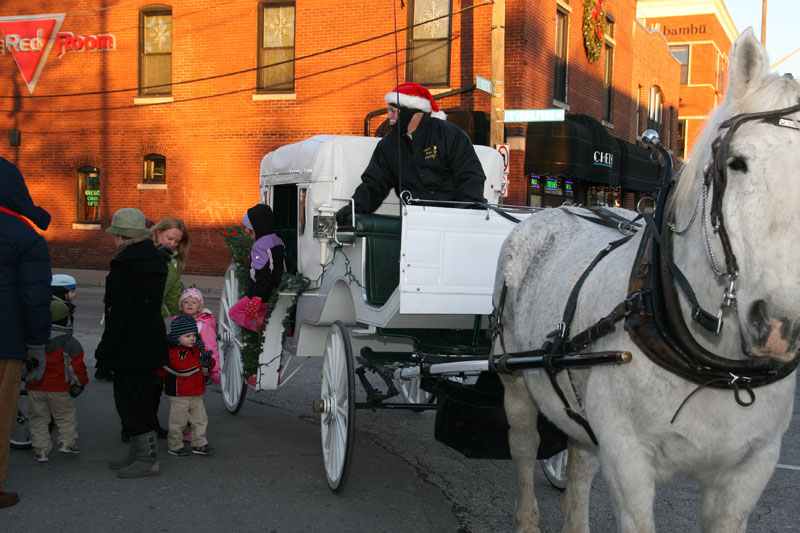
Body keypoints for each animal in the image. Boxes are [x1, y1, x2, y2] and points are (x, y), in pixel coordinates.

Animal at [494, 27, 800, 528]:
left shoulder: (750, 470)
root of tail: (554, 209)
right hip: (514, 379)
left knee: (579, 467)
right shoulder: (628, 459)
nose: (779, 325)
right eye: (736, 163)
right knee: (523, 447)